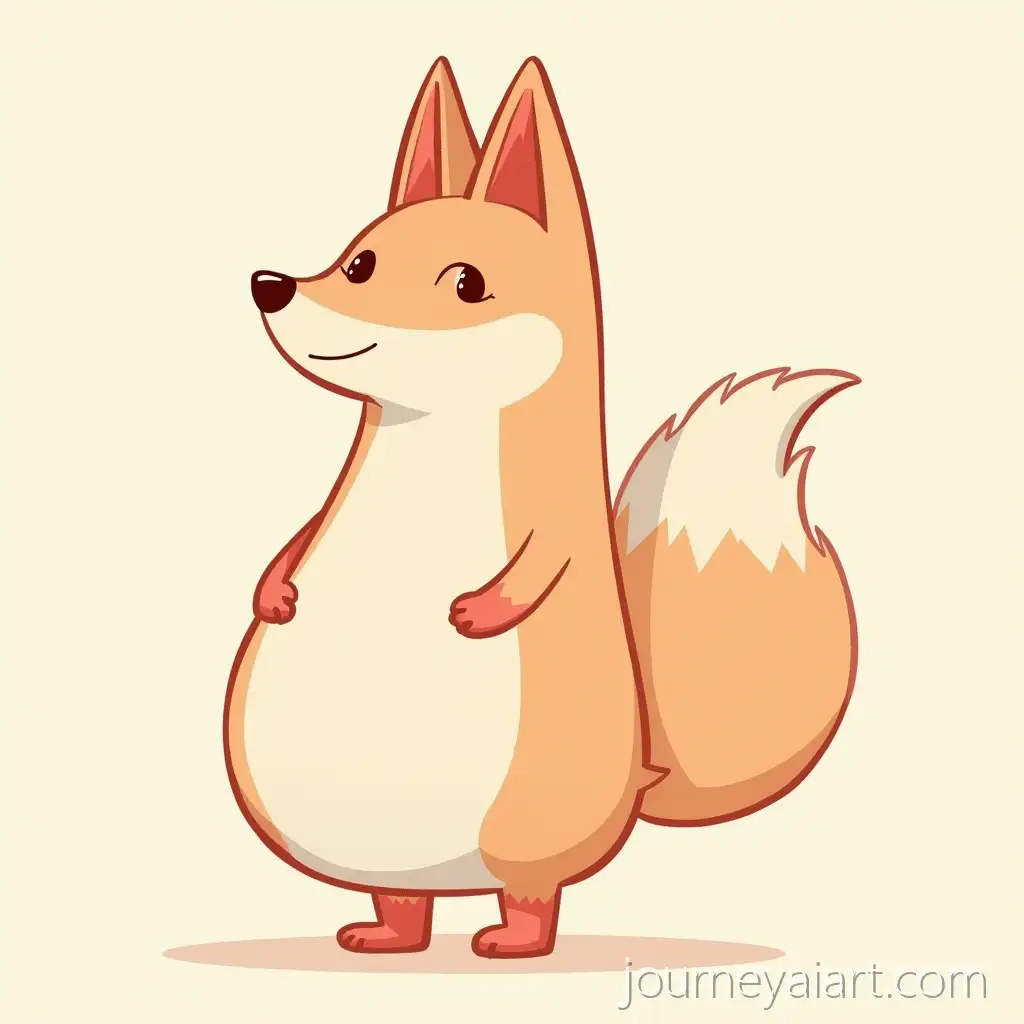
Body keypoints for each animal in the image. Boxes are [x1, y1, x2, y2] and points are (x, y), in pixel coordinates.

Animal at [223, 55, 859, 959]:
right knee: (404, 901)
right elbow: (297, 538)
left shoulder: (552, 537)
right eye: (358, 262)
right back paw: (389, 935)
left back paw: (512, 943)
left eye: (468, 283)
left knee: (533, 894)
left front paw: (481, 610)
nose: (270, 286)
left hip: (528, 831)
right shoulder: (322, 515)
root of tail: (642, 768)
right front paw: (275, 594)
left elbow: (544, 564)